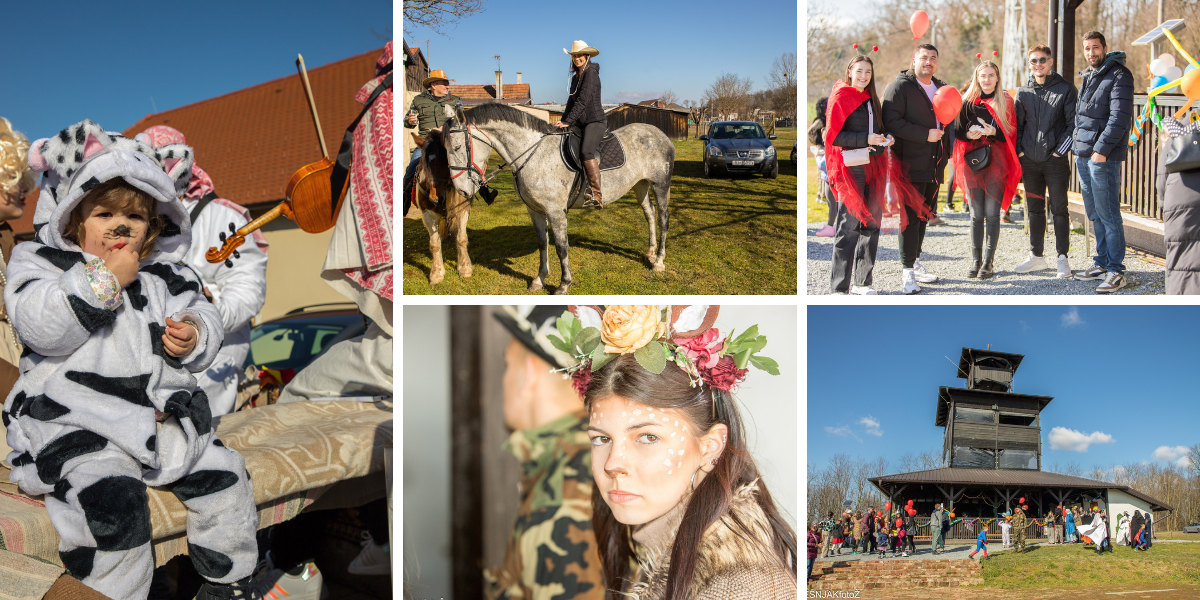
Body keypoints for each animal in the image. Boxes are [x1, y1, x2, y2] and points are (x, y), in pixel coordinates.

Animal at [441, 103, 676, 295]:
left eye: (458, 147)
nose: (461, 191)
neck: (535, 154)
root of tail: (661, 135)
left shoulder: (555, 211)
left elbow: (562, 247)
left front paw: (564, 285)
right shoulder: (535, 210)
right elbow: (542, 242)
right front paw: (539, 279)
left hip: (660, 185)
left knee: (663, 218)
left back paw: (659, 262)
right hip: (640, 185)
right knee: (649, 214)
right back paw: (650, 253)